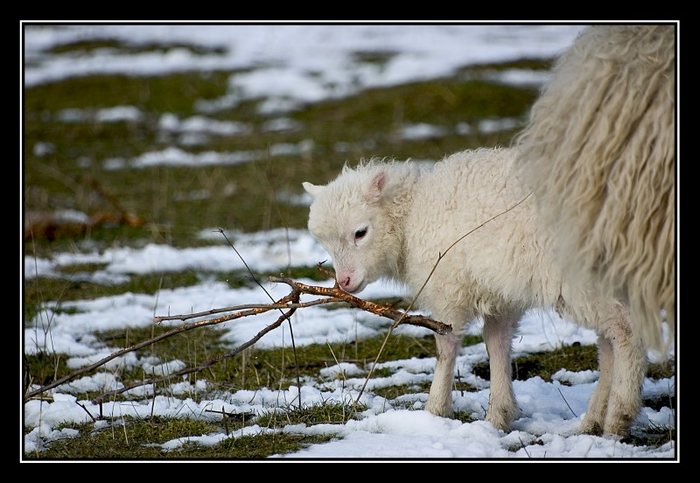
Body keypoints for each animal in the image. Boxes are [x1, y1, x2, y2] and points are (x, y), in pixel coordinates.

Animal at [304, 147, 648, 434]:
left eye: (360, 232)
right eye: (326, 243)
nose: (344, 282)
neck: (412, 217)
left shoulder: (449, 289)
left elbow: (446, 347)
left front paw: (436, 410)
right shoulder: (500, 296)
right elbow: (496, 344)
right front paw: (499, 415)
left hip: (581, 279)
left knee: (624, 332)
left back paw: (619, 415)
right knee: (608, 342)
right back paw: (594, 419)